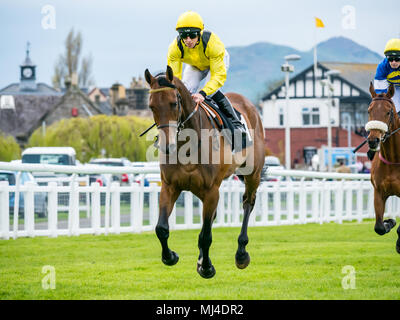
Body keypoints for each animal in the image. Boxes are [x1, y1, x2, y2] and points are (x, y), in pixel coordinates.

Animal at [144, 65, 266, 278]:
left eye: (173, 103)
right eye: (152, 106)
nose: (167, 146)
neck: (188, 144)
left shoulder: (211, 191)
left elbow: (206, 235)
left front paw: (207, 267)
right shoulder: (170, 186)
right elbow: (161, 228)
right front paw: (170, 257)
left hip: (253, 174)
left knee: (248, 203)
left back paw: (241, 253)